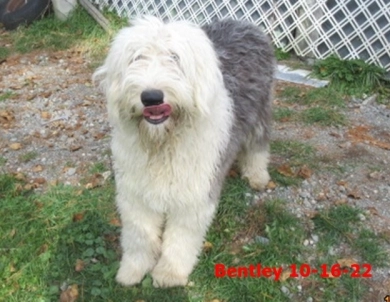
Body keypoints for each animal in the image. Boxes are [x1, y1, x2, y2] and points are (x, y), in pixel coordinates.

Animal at [93, 15, 274, 288]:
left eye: (175, 57)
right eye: (137, 57)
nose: (151, 97)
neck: (162, 142)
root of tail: (245, 22)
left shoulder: (195, 194)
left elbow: (181, 238)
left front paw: (169, 273)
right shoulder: (135, 192)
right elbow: (139, 233)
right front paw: (133, 269)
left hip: (260, 112)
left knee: (257, 146)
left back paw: (257, 175)